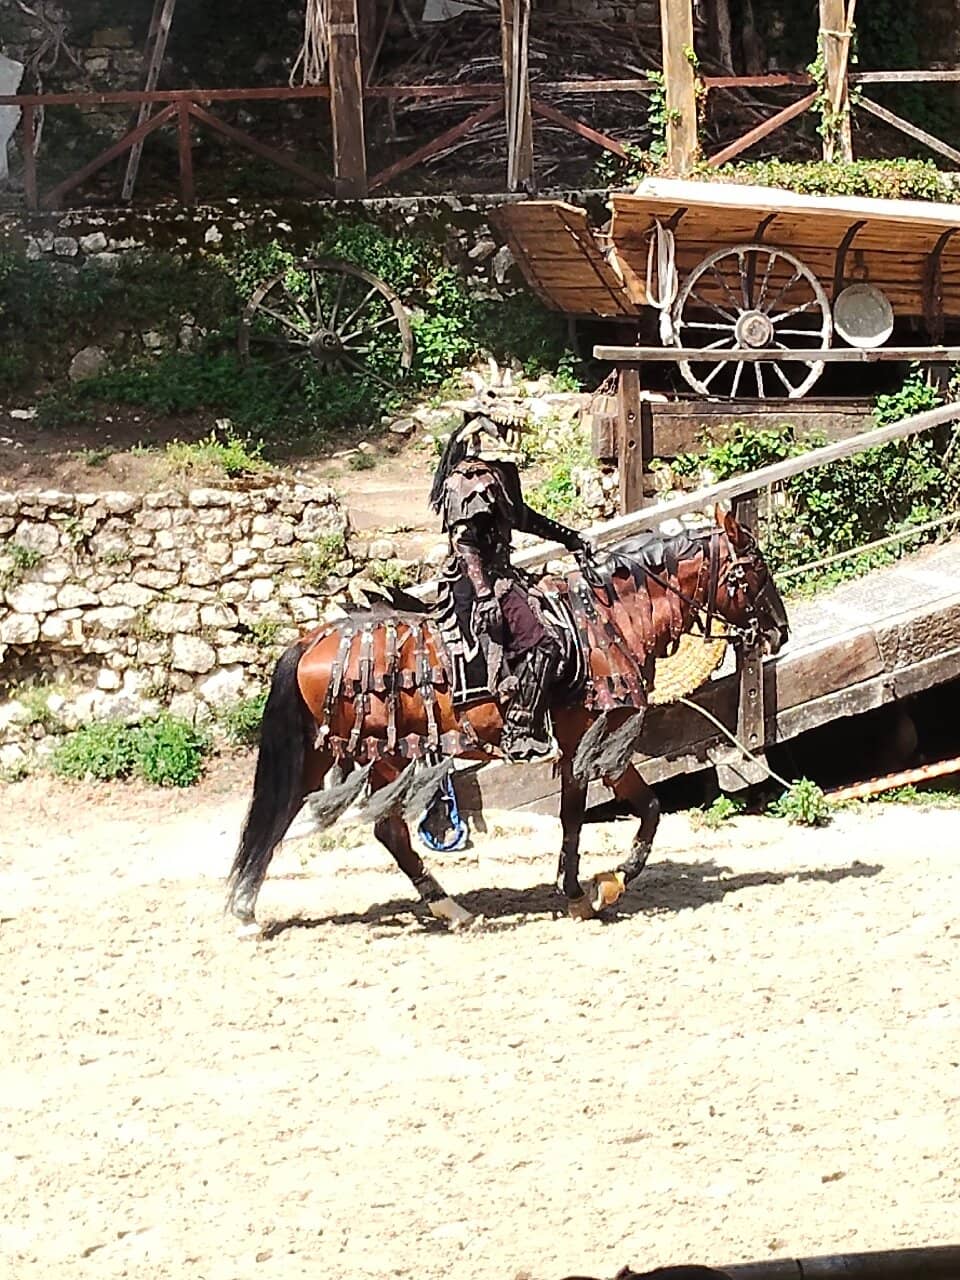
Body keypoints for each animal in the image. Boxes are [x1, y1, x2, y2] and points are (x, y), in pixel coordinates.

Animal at [227, 508, 788, 931]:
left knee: (286, 817)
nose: (779, 631)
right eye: (756, 568)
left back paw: (249, 909)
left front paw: (594, 887)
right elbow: (599, 814)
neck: (608, 620)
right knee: (379, 831)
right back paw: (450, 909)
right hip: (382, 756)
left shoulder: (594, 744)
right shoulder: (592, 742)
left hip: (330, 755)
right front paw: (592, 890)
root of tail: (310, 641)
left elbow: (629, 810)